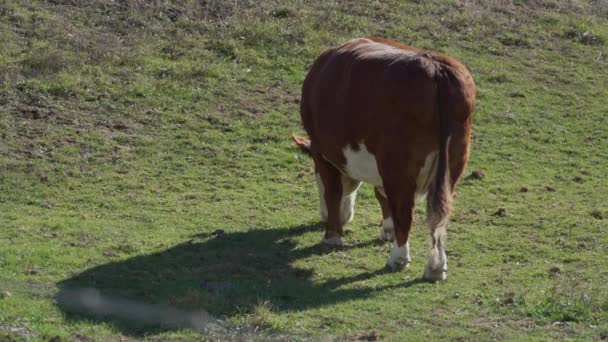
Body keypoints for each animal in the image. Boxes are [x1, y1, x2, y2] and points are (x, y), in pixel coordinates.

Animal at [292, 36, 478, 280]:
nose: (325, 218)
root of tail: (436, 67)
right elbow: (381, 194)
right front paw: (387, 229)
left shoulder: (322, 153)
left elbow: (333, 191)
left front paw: (332, 236)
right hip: (452, 161)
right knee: (440, 213)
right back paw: (436, 267)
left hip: (398, 165)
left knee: (405, 212)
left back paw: (398, 258)